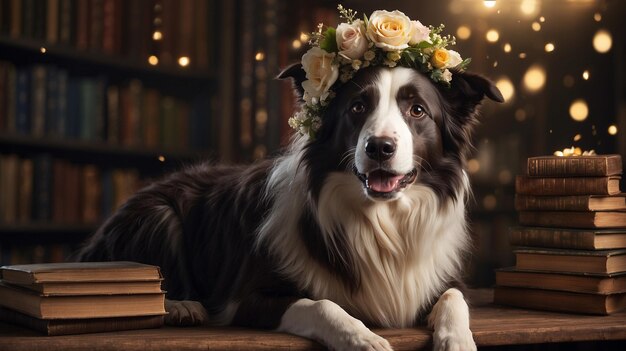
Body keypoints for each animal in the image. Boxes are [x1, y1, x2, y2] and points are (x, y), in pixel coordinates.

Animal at [74, 62, 502, 350]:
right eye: (358, 108)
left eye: (417, 110)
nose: (379, 147)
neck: (381, 218)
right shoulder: (243, 299)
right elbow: (321, 303)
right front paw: (362, 337)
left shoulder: (437, 278)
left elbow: (455, 299)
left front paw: (457, 340)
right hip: (158, 214)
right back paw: (182, 306)